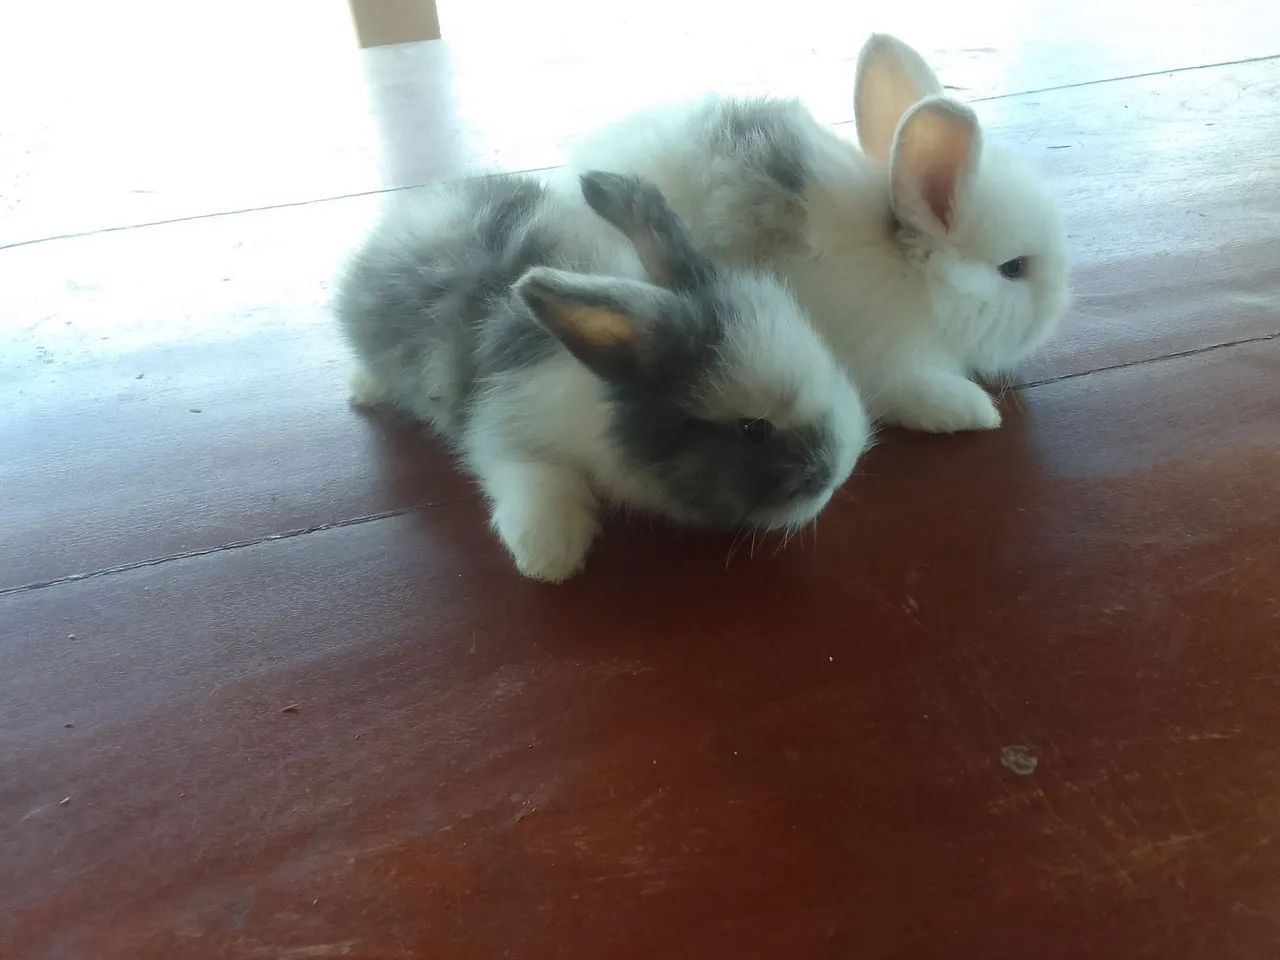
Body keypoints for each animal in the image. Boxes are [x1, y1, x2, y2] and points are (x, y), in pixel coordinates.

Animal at [335, 171, 871, 582]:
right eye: (752, 428)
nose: (837, 475)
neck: (603, 395)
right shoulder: (508, 431)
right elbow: (538, 481)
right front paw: (549, 558)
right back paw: (366, 390)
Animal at [559, 33, 1069, 434]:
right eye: (1013, 268)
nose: (1053, 319)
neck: (917, 282)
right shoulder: (892, 366)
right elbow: (918, 395)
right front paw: (975, 412)